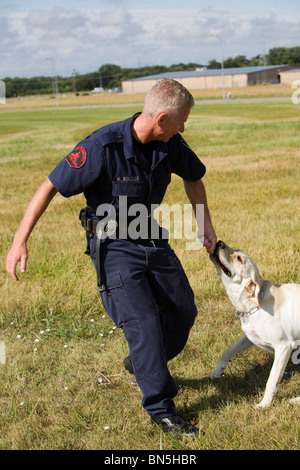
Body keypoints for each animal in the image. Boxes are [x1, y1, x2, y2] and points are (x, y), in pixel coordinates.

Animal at [210, 241, 298, 406]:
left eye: (239, 259)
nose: (219, 242)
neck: (254, 304)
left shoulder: (283, 346)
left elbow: (271, 379)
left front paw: (264, 404)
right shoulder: (250, 336)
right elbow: (228, 350)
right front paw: (218, 371)